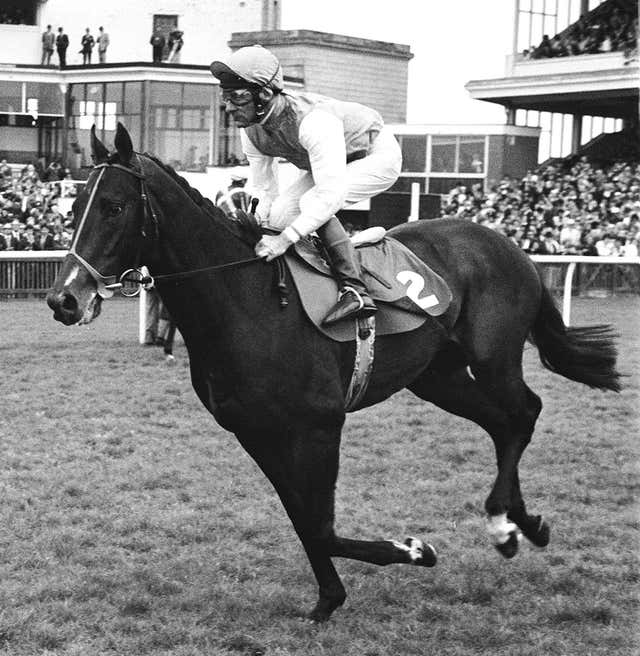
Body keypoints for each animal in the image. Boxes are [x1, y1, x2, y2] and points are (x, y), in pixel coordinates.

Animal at [46, 125, 620, 624]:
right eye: (73, 207)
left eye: (114, 207)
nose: (63, 299)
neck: (248, 302)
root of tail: (507, 244)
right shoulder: (256, 431)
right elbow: (303, 518)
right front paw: (330, 598)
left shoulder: (320, 425)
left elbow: (320, 524)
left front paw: (413, 549)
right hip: (438, 377)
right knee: (503, 423)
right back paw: (523, 526)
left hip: (494, 356)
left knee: (524, 412)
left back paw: (505, 523)